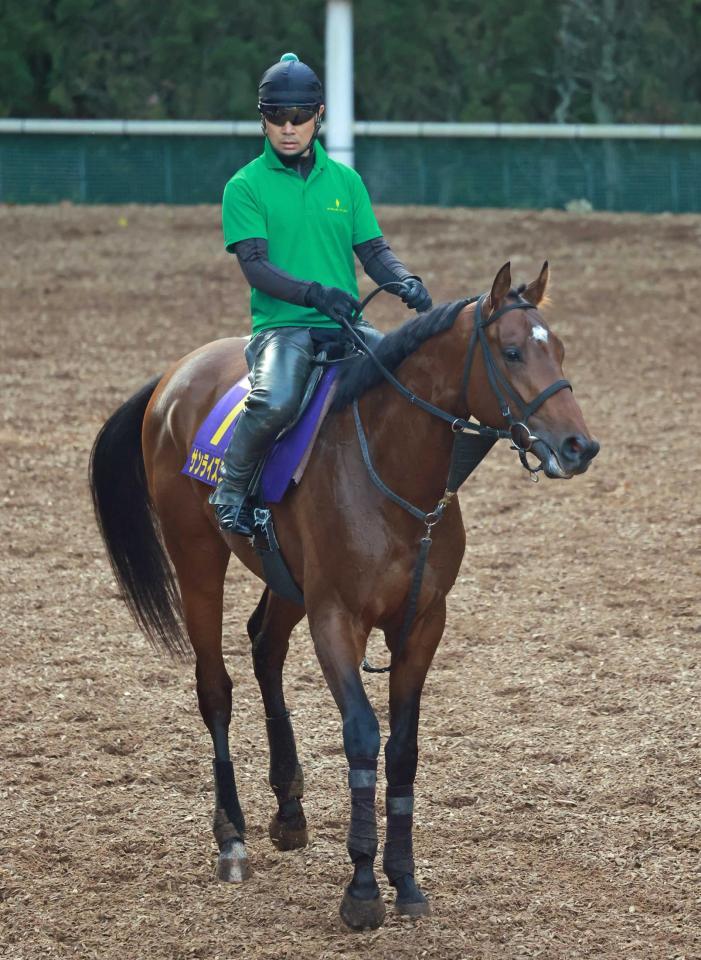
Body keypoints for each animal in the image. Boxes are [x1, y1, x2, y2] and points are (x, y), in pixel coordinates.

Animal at [90, 258, 600, 928]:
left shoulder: (423, 623)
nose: (579, 447)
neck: (391, 468)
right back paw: (232, 837)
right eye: (512, 351)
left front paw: (403, 879)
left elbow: (403, 747)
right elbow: (361, 735)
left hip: (287, 580)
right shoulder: (335, 618)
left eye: (560, 349)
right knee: (215, 688)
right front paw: (361, 888)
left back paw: (288, 809)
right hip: (198, 559)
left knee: (264, 648)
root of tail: (176, 377)